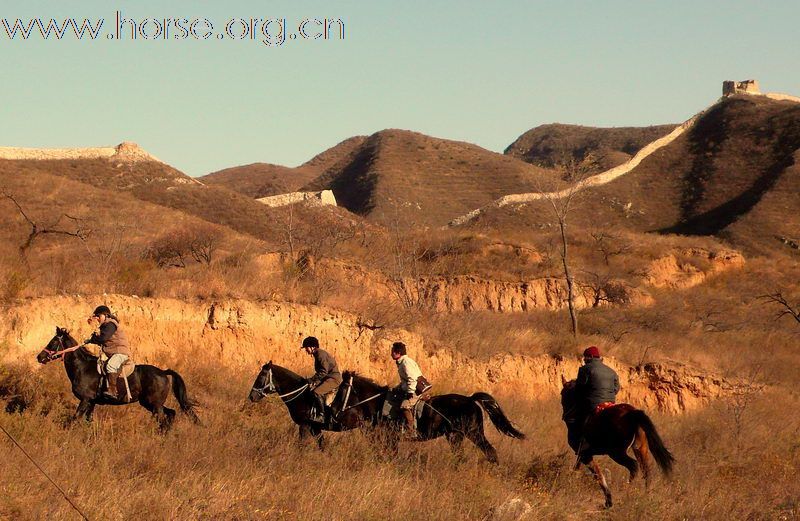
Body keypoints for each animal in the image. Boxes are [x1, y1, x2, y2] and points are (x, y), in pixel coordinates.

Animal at [36, 324, 200, 430]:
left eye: (53, 342)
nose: (39, 357)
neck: (82, 367)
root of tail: (163, 372)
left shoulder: (85, 400)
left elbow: (74, 419)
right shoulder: (91, 402)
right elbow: (88, 421)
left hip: (154, 404)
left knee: (163, 420)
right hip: (149, 403)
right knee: (171, 414)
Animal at [250, 360, 524, 462]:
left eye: (261, 376)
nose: (252, 396)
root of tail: (469, 399)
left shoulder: (307, 425)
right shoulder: (315, 428)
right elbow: (320, 445)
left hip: (473, 433)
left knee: (490, 452)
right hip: (455, 435)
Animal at [564, 378, 676, 508]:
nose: (565, 415)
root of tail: (632, 413)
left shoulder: (585, 455)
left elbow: (598, 474)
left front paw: (608, 501)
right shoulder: (583, 455)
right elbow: (579, 468)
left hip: (616, 453)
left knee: (634, 466)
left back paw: (627, 490)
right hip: (640, 448)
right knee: (646, 471)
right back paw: (646, 495)